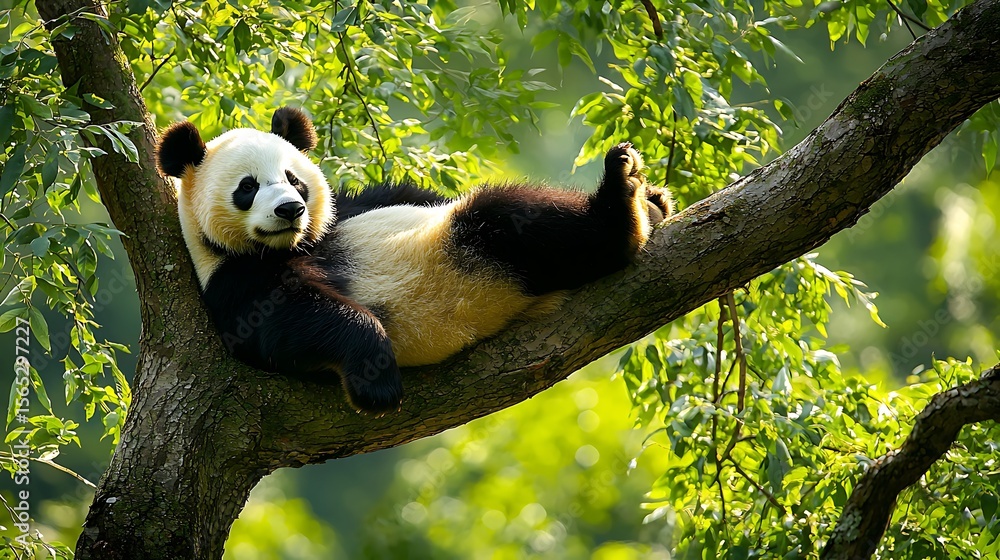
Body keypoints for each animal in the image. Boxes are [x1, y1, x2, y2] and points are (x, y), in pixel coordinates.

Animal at [157, 107, 672, 413]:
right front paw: (376, 379)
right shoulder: (234, 280)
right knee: (503, 218)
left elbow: (403, 196)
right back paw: (621, 217)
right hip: (476, 267)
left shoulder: (357, 205)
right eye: (247, 187)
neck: (299, 244)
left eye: (293, 179)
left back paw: (640, 201)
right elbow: (287, 319)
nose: (290, 209)